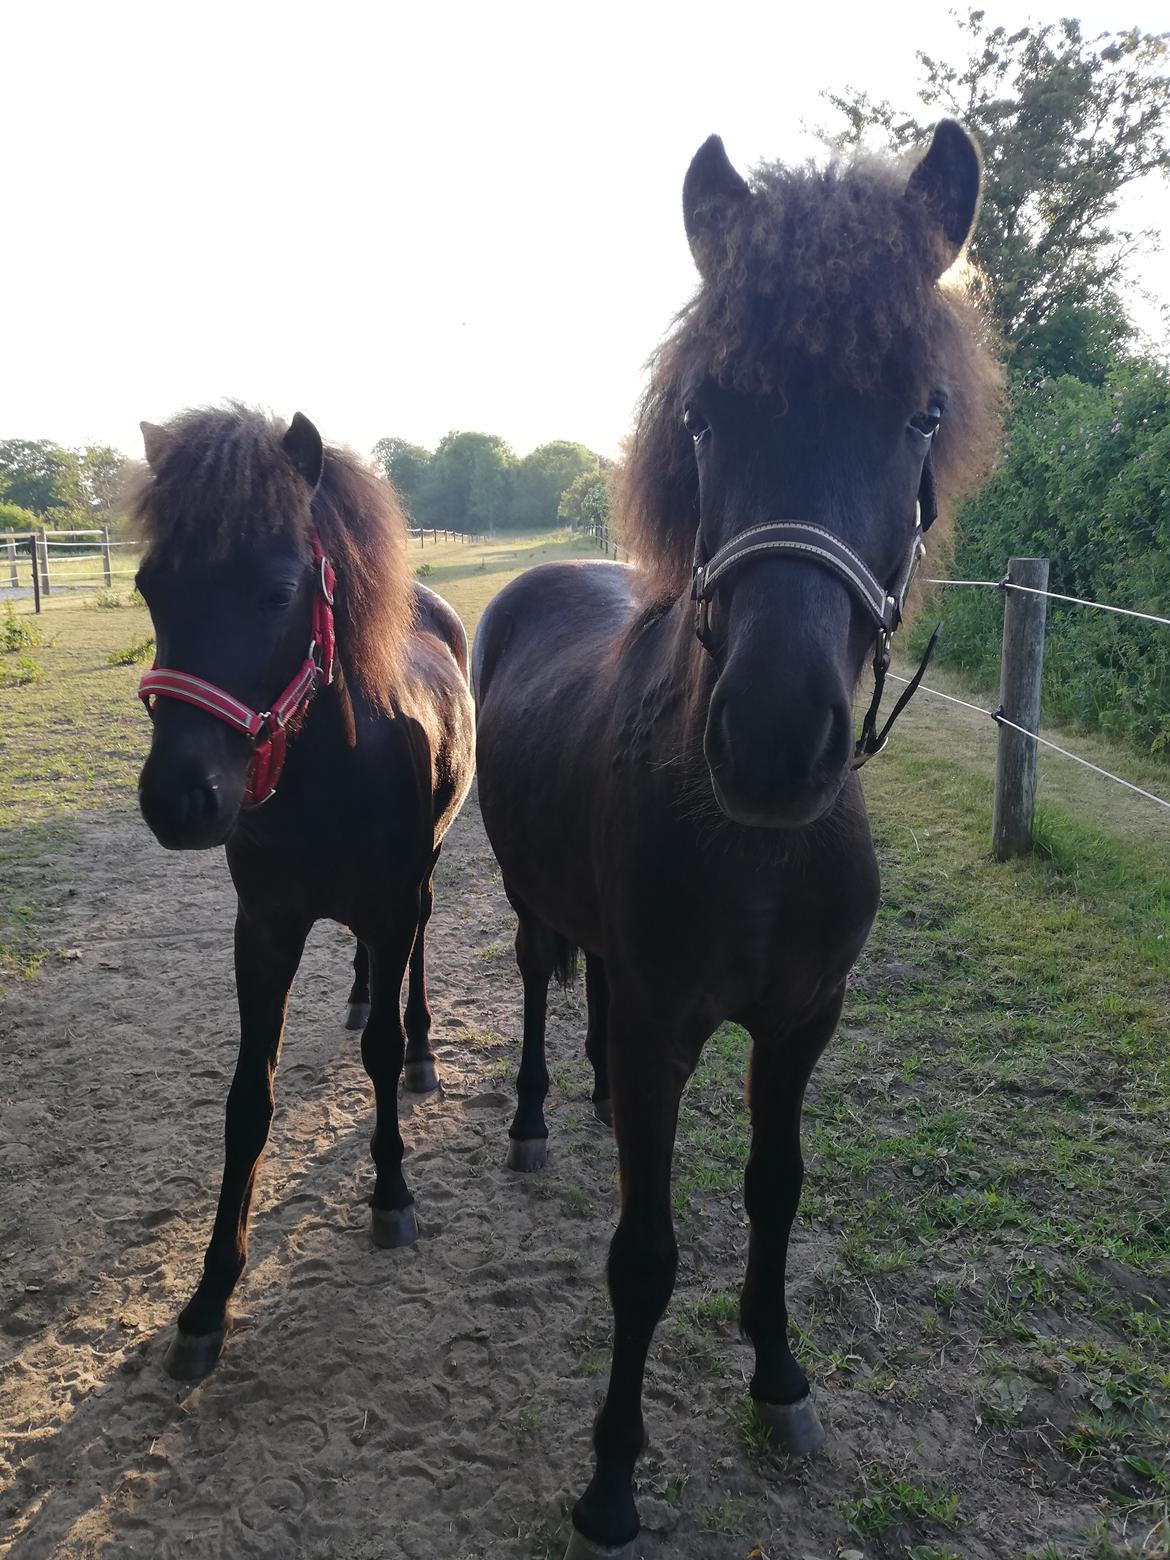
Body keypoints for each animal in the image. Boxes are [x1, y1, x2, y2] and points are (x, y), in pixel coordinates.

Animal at [130, 402, 474, 1379]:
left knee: (418, 956)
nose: (178, 797)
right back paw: (359, 996)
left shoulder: (391, 904)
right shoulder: (265, 929)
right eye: (149, 587)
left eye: (278, 592)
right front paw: (209, 1295)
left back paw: (423, 1044)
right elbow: (250, 1098)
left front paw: (391, 1192)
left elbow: (383, 1056)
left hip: (422, 879)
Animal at [471, 124, 1004, 1560]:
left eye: (919, 414)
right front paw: (612, 1474)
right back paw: (541, 1114)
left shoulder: (801, 1020)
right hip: (529, 900)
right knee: (542, 985)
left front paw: (780, 1377)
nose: (773, 736)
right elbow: (644, 1255)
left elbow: (777, 1188)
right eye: (707, 413)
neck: (759, 856)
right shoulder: (672, 1023)